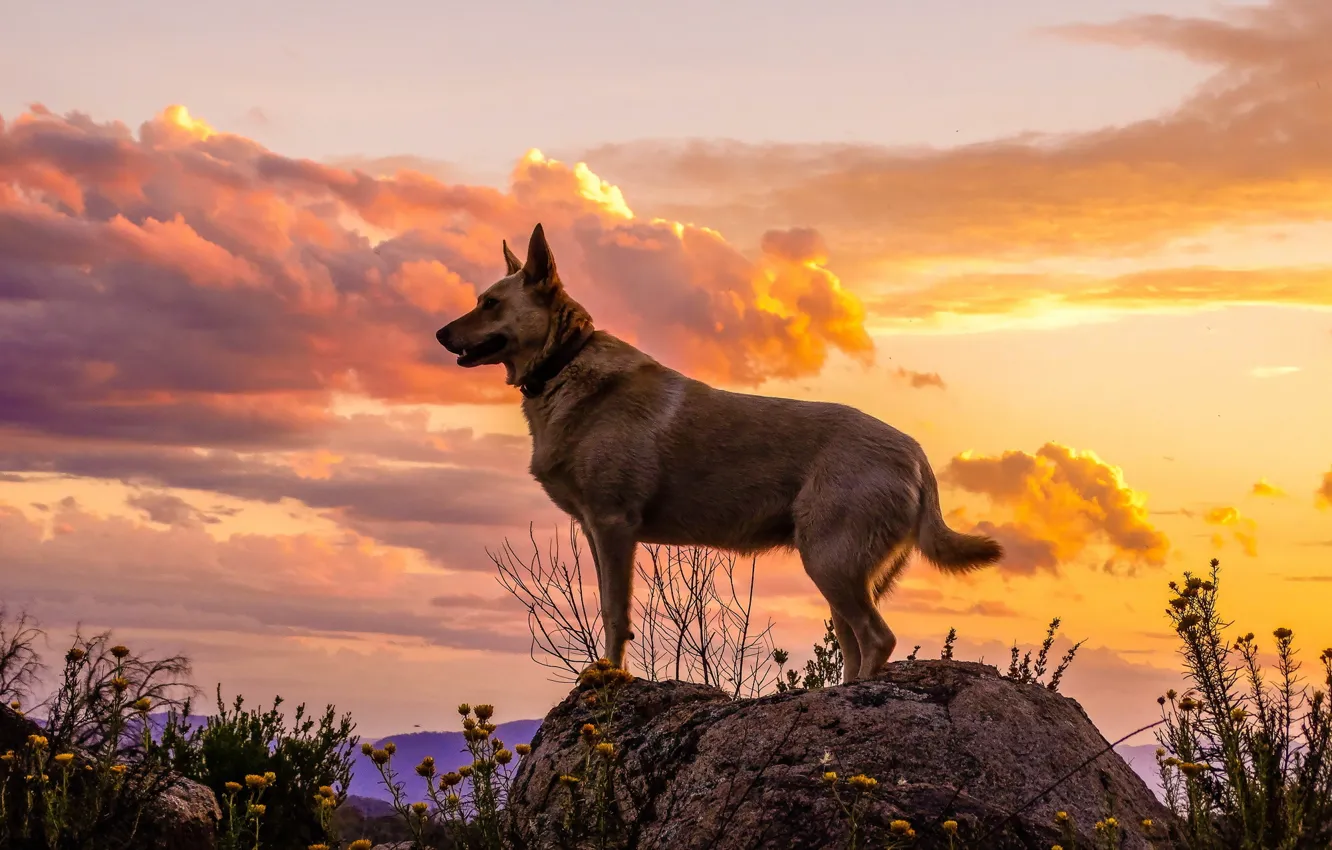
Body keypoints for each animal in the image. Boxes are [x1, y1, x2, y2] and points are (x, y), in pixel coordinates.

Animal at [436, 223, 1001, 682]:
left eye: (489, 303)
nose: (440, 333)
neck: (564, 364)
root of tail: (915, 453)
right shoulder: (596, 531)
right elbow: (607, 608)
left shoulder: (614, 524)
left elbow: (616, 614)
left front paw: (609, 676)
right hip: (841, 571)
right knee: (856, 642)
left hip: (830, 561)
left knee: (877, 638)